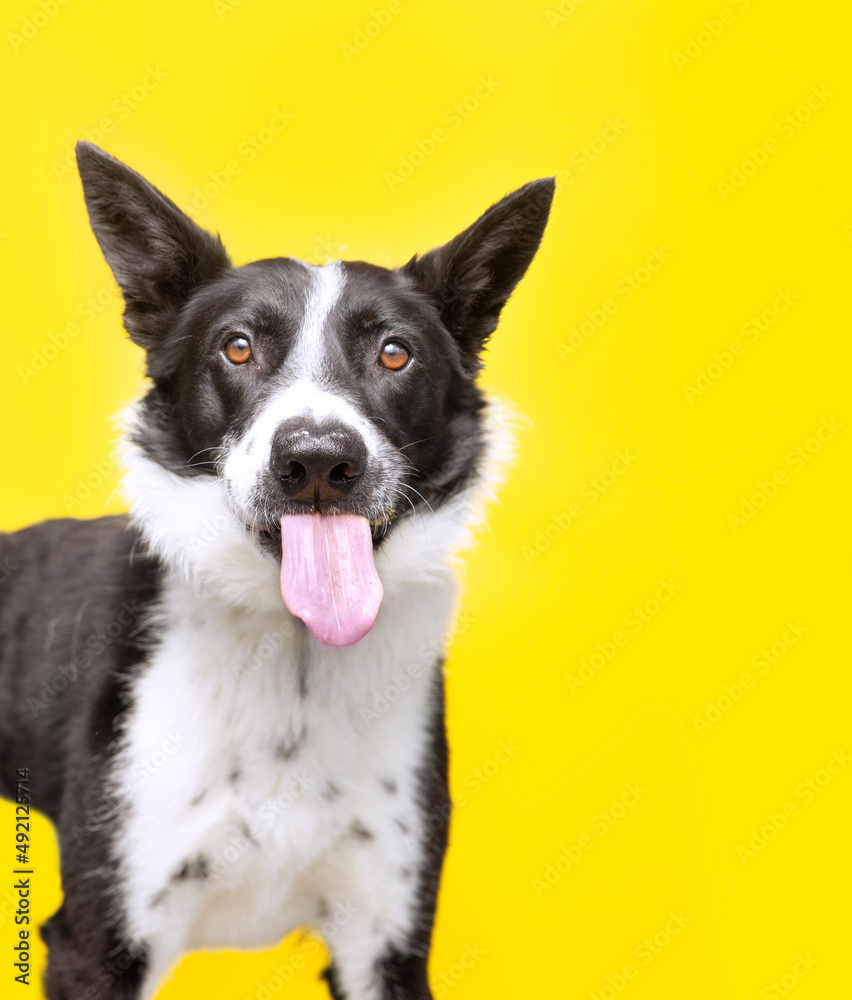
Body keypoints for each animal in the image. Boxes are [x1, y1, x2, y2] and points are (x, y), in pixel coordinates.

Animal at [0, 143, 552, 1000]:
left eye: (395, 352)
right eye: (238, 347)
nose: (319, 462)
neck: (295, 658)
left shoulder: (386, 941)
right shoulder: (97, 944)